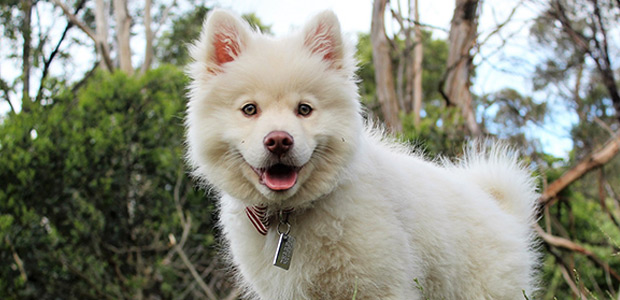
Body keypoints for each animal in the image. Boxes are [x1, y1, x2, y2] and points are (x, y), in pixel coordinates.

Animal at [184, 9, 536, 300]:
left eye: (304, 109)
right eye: (249, 110)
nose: (279, 141)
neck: (290, 216)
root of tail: (503, 211)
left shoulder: (382, 286)